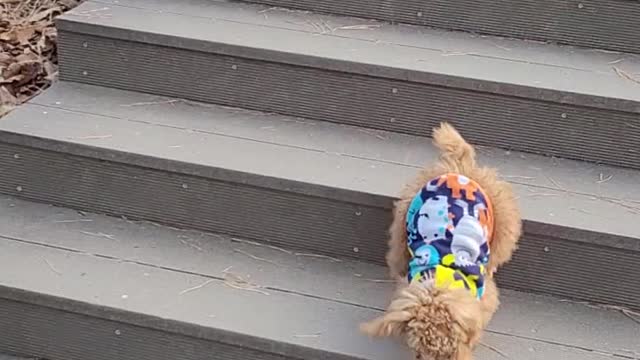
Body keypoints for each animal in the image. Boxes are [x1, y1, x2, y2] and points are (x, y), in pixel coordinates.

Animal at [360, 122, 520, 358]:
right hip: (406, 214)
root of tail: (459, 166)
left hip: (502, 222)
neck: (441, 273)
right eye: (418, 352)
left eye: (444, 353)